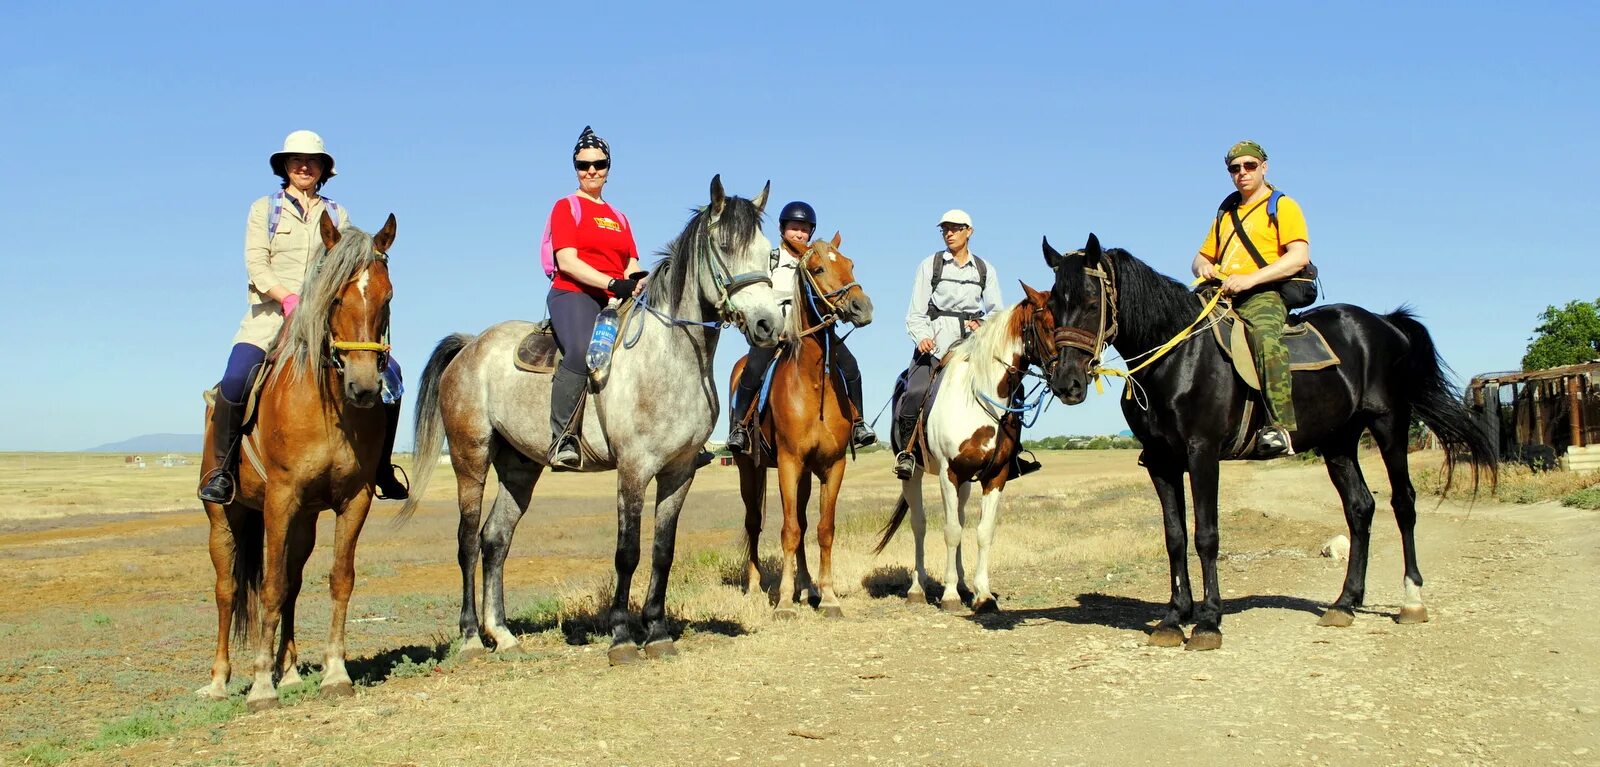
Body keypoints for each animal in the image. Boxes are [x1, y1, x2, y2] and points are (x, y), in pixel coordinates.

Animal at [198, 211, 400, 714]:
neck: (327, 406)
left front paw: (334, 673)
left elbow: (339, 579)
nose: (364, 387)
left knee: (291, 581)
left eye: (387, 297)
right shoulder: (280, 499)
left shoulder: (354, 500)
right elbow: (267, 587)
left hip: (305, 521)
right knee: (228, 590)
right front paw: (259, 686)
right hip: (224, 517)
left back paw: (288, 671)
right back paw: (221, 679)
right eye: (335, 296)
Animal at [396, 176, 777, 662]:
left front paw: (657, 631)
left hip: (520, 467)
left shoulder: (680, 472)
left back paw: (502, 633)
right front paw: (622, 636)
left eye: (768, 253)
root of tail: (469, 346)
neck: (669, 358)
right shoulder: (633, 469)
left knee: (495, 539)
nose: (768, 325)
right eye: (726, 246)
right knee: (466, 541)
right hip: (470, 458)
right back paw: (470, 638)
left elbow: (663, 551)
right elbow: (627, 553)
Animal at [729, 232, 870, 618]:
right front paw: (784, 601)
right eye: (819, 268)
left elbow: (822, 528)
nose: (862, 307)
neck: (812, 381)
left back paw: (808, 589)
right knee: (754, 522)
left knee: (806, 522)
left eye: (850, 263)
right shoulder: (789, 463)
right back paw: (756, 587)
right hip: (749, 468)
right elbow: (789, 530)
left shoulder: (832, 465)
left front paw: (828, 595)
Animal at [870, 285, 1068, 614]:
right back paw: (918, 589)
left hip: (965, 483)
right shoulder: (949, 473)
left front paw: (983, 595)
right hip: (914, 475)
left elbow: (983, 532)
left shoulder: (995, 476)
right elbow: (950, 531)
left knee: (960, 521)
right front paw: (949, 595)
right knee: (919, 525)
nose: (1071, 379)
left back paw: (963, 585)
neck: (980, 398)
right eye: (1048, 325)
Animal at [1043, 232, 1491, 646]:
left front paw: (1208, 621)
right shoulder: (1160, 462)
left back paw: (1411, 600)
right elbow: (1175, 537)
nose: (1066, 383)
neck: (1177, 360)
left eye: (1090, 301)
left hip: (1389, 425)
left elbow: (1206, 536)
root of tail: (1385, 323)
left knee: (1403, 503)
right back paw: (1345, 602)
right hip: (1338, 442)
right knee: (1360, 508)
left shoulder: (1202, 453)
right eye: (1051, 306)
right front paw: (1174, 617)